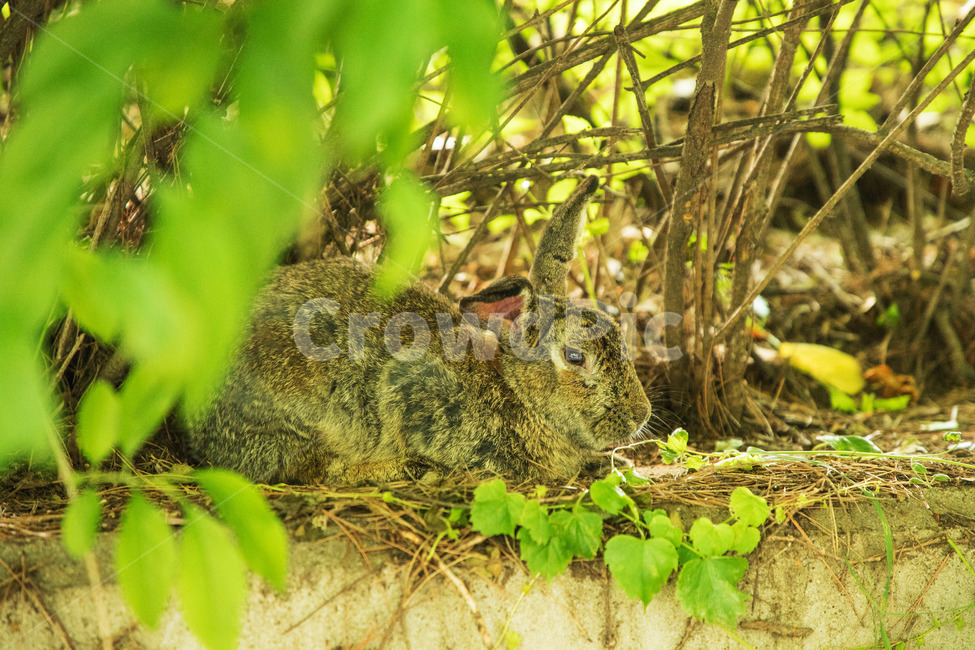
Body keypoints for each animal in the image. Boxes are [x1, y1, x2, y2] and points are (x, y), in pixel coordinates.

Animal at [184, 175, 652, 484]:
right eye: (575, 357)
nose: (641, 415)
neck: (516, 395)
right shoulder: (412, 393)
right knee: (311, 469)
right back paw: (402, 467)